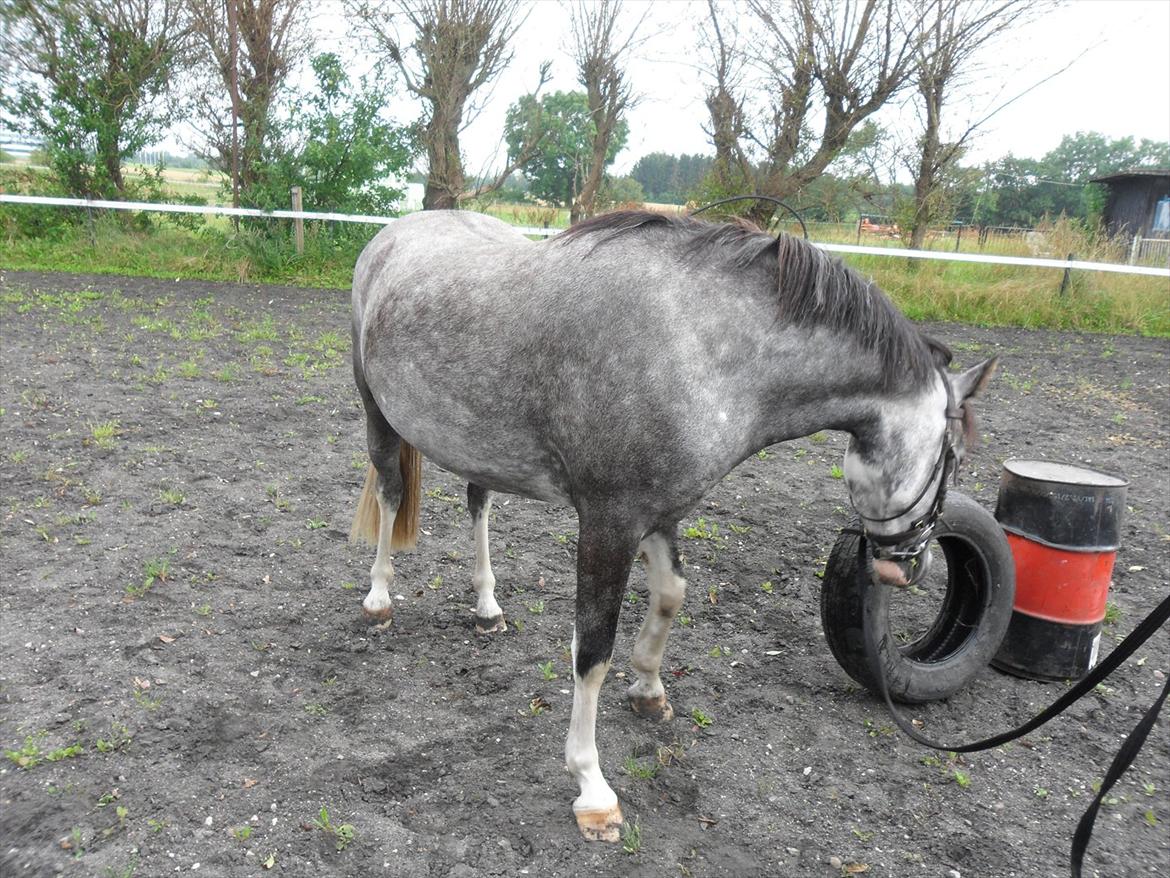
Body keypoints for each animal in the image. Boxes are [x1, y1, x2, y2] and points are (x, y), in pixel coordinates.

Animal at [348, 208, 996, 847]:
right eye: (954, 458)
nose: (914, 565)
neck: (700, 345)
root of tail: (392, 233)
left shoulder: (660, 513)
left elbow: (670, 596)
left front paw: (648, 691)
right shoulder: (609, 522)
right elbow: (593, 651)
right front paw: (592, 788)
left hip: (478, 448)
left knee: (478, 502)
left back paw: (487, 607)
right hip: (378, 416)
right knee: (390, 492)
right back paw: (379, 598)